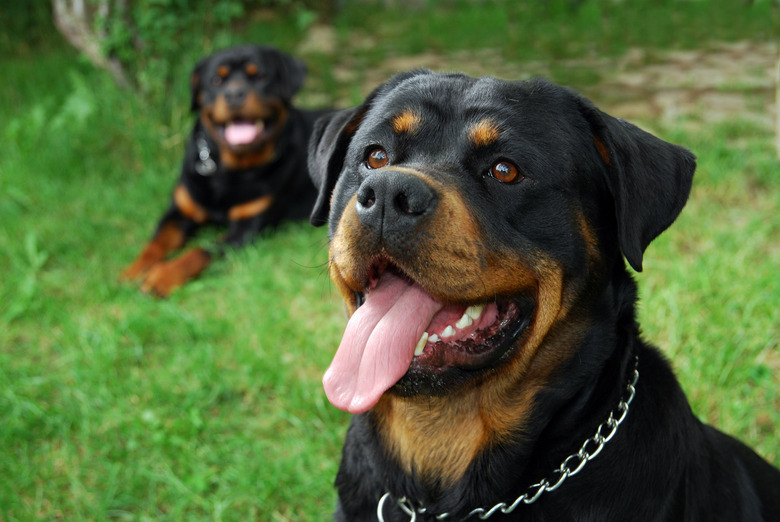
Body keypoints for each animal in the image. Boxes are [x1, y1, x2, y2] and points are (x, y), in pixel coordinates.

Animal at [122, 43, 330, 296]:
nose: (234, 94)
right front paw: (134, 270)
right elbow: (155, 243)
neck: (230, 171)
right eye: (216, 81)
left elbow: (201, 251)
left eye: (260, 77)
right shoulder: (180, 211)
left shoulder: (244, 229)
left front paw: (162, 276)